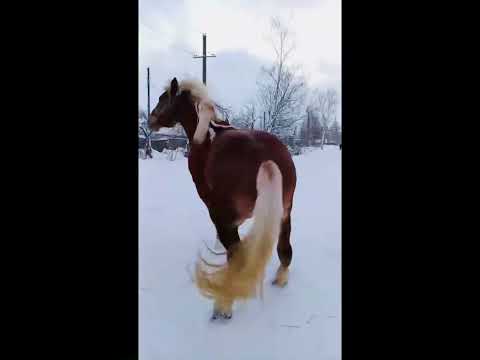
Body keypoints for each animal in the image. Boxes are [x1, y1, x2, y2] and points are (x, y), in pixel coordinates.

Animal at [148, 77, 294, 320]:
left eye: (162, 98)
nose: (150, 121)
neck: (207, 133)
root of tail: (265, 159)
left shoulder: (217, 210)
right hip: (285, 213)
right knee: (284, 250)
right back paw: (280, 279)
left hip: (225, 216)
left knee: (237, 257)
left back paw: (223, 306)